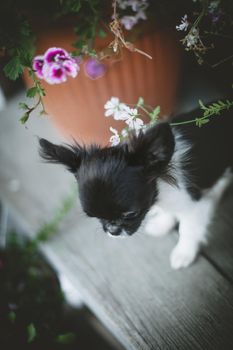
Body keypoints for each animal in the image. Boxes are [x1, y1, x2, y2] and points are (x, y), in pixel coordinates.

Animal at [39, 108, 233, 270]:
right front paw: (163, 223)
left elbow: (188, 229)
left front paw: (184, 253)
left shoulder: (194, 205)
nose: (112, 230)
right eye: (93, 216)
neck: (160, 186)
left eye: (131, 214)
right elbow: (170, 213)